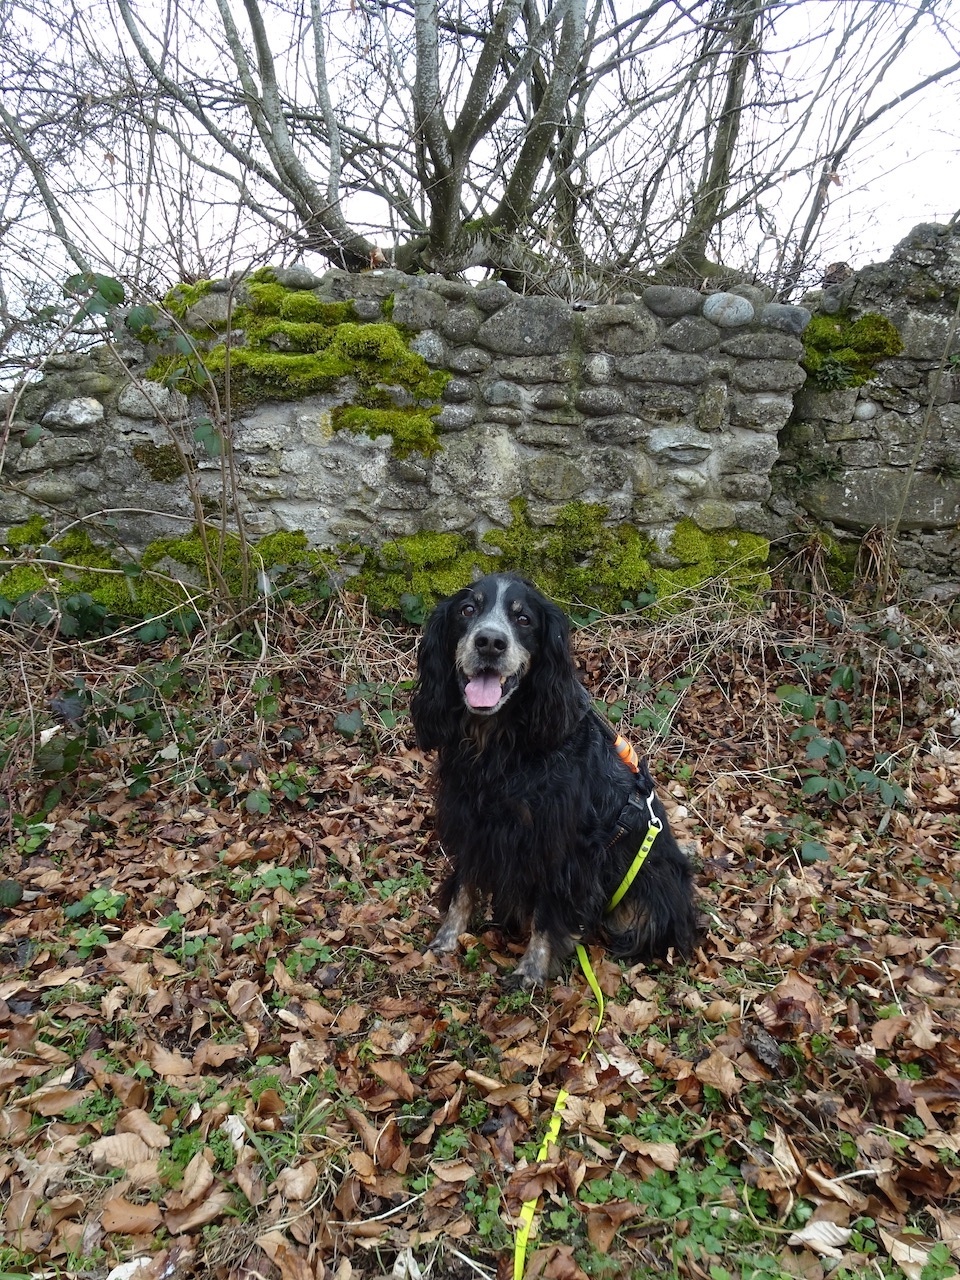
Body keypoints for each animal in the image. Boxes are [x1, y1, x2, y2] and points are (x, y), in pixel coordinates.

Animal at [410, 572, 698, 989]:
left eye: (524, 619)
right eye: (467, 610)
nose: (490, 642)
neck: (501, 746)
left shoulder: (561, 848)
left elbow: (548, 915)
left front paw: (531, 971)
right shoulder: (472, 825)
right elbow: (464, 887)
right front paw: (446, 939)